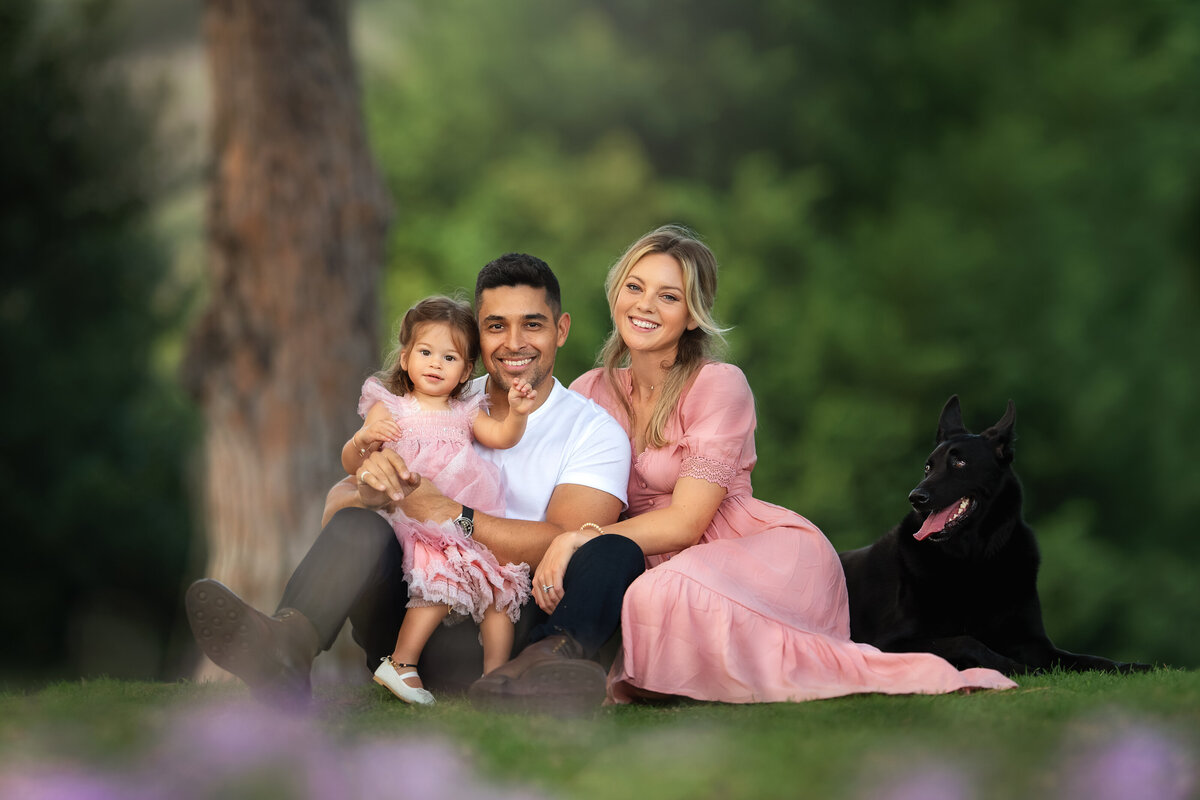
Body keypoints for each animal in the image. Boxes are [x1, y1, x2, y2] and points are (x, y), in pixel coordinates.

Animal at [840, 398, 1147, 671]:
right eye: (928, 467)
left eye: (960, 463)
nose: (916, 497)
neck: (974, 558)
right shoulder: (889, 644)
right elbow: (966, 640)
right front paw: (1015, 667)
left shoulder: (1034, 642)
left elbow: (1083, 658)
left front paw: (1128, 665)